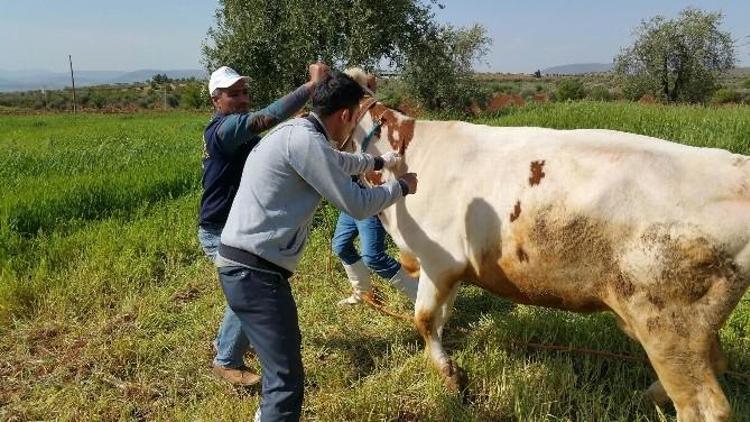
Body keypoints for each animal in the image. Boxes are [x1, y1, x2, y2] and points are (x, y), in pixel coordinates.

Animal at [346, 96, 750, 422]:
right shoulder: (451, 269)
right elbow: (441, 317)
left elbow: (425, 319)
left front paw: (452, 378)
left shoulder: (438, 259)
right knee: (717, 361)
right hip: (693, 322)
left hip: (666, 324)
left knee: (704, 406)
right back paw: (644, 396)